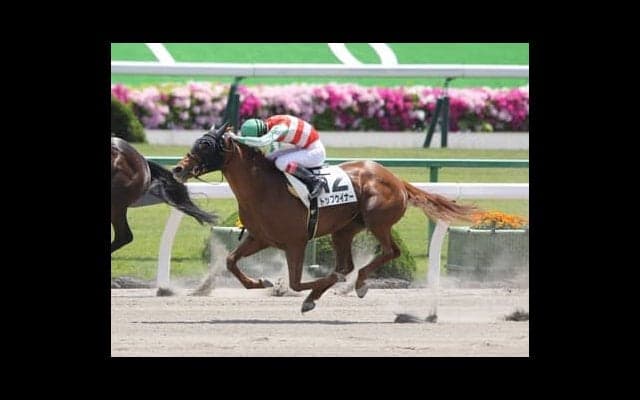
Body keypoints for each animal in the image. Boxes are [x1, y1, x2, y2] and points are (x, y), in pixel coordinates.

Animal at [171, 124, 476, 312]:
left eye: (206, 145)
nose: (178, 169)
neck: (263, 188)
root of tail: (396, 179)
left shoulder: (296, 242)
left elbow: (296, 282)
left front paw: (298, 288)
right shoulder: (261, 237)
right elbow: (230, 260)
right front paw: (260, 283)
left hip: (377, 221)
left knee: (390, 252)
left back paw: (358, 284)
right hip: (343, 230)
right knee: (347, 264)